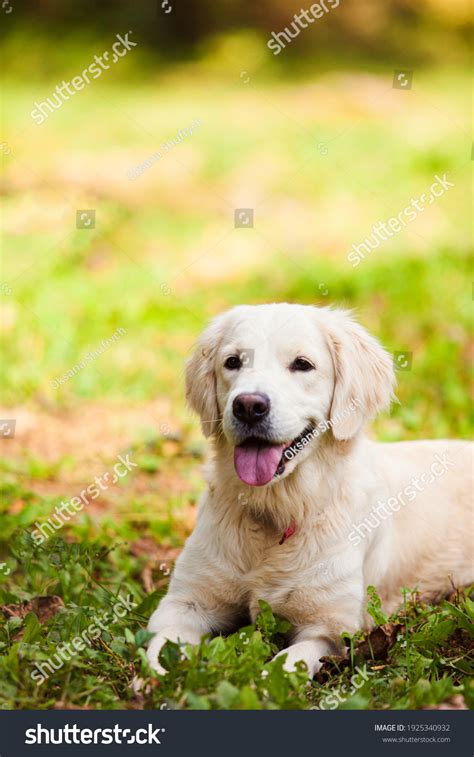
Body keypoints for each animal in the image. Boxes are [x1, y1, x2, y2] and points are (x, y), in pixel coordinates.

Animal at [146, 304, 472, 676]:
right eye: (232, 362)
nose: (248, 406)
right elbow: (161, 649)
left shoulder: (328, 631)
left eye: (302, 364)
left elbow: (284, 665)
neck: (277, 511)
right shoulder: (183, 603)